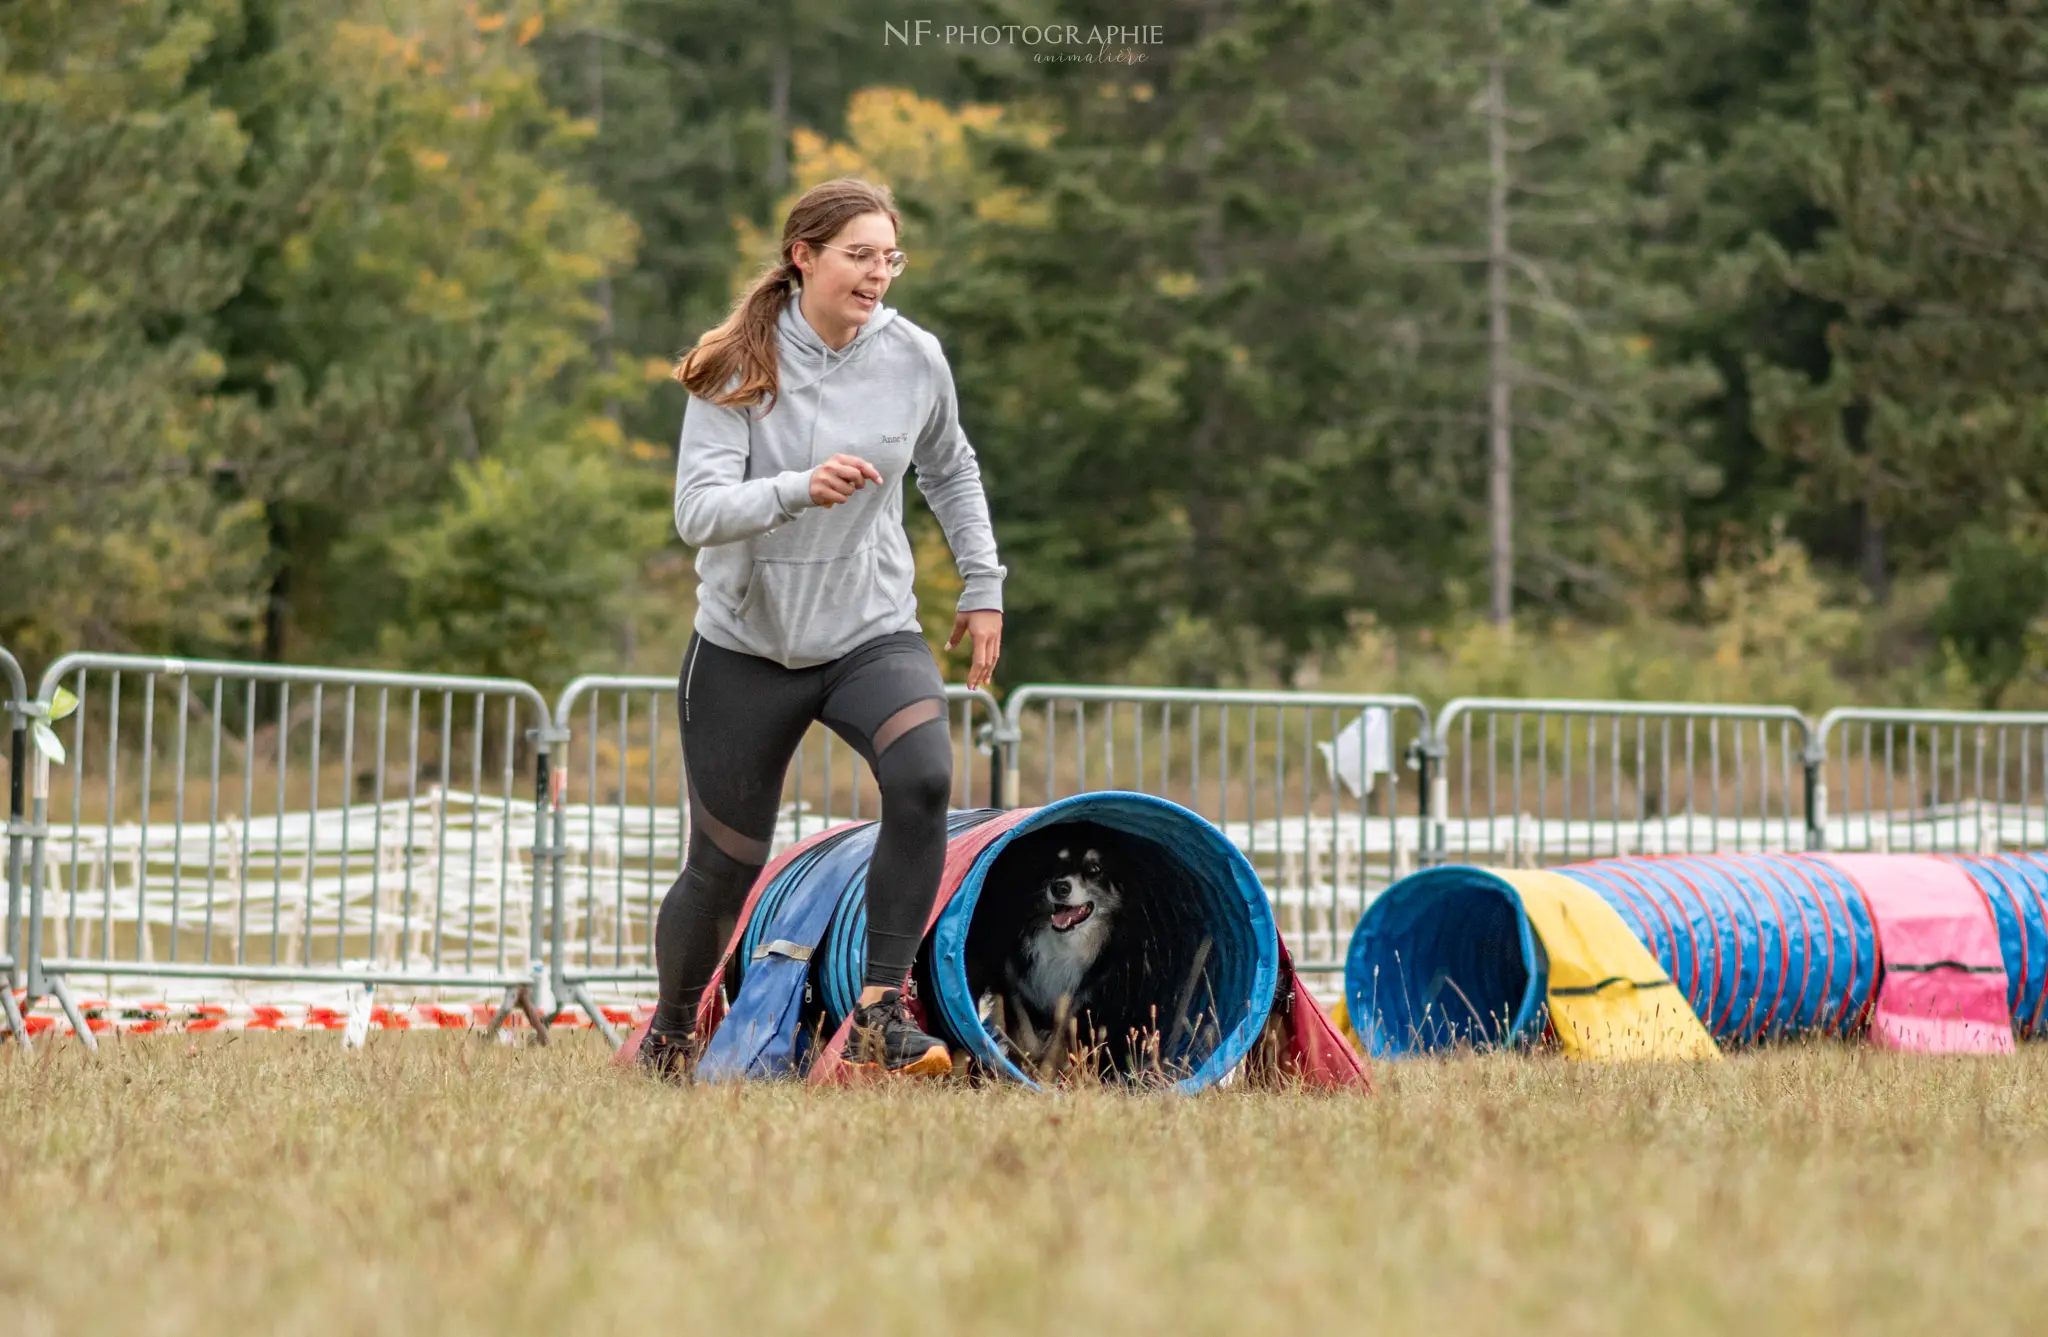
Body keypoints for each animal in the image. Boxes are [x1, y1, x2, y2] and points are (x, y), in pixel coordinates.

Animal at [966, 818, 1130, 1072]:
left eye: (1095, 869)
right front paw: (1025, 1063)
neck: (1064, 941)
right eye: (1057, 863)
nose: (1059, 887)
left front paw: (1046, 1073)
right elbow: (1027, 1037)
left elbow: (1057, 1041)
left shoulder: (1076, 996)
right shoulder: (1013, 979)